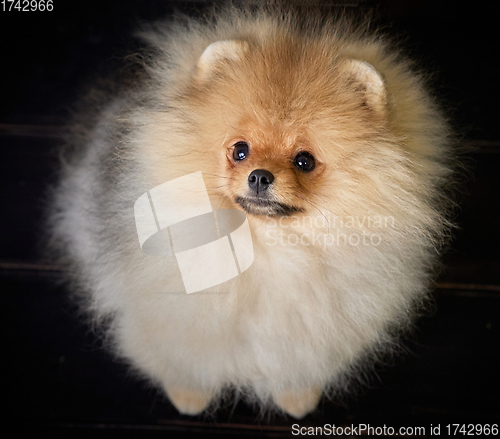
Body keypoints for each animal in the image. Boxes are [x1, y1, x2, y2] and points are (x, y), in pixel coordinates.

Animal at [48, 1, 456, 420]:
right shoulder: (172, 312)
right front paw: (189, 395)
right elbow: (181, 350)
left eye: (305, 161)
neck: (266, 247)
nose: (259, 176)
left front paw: (297, 398)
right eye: (240, 150)